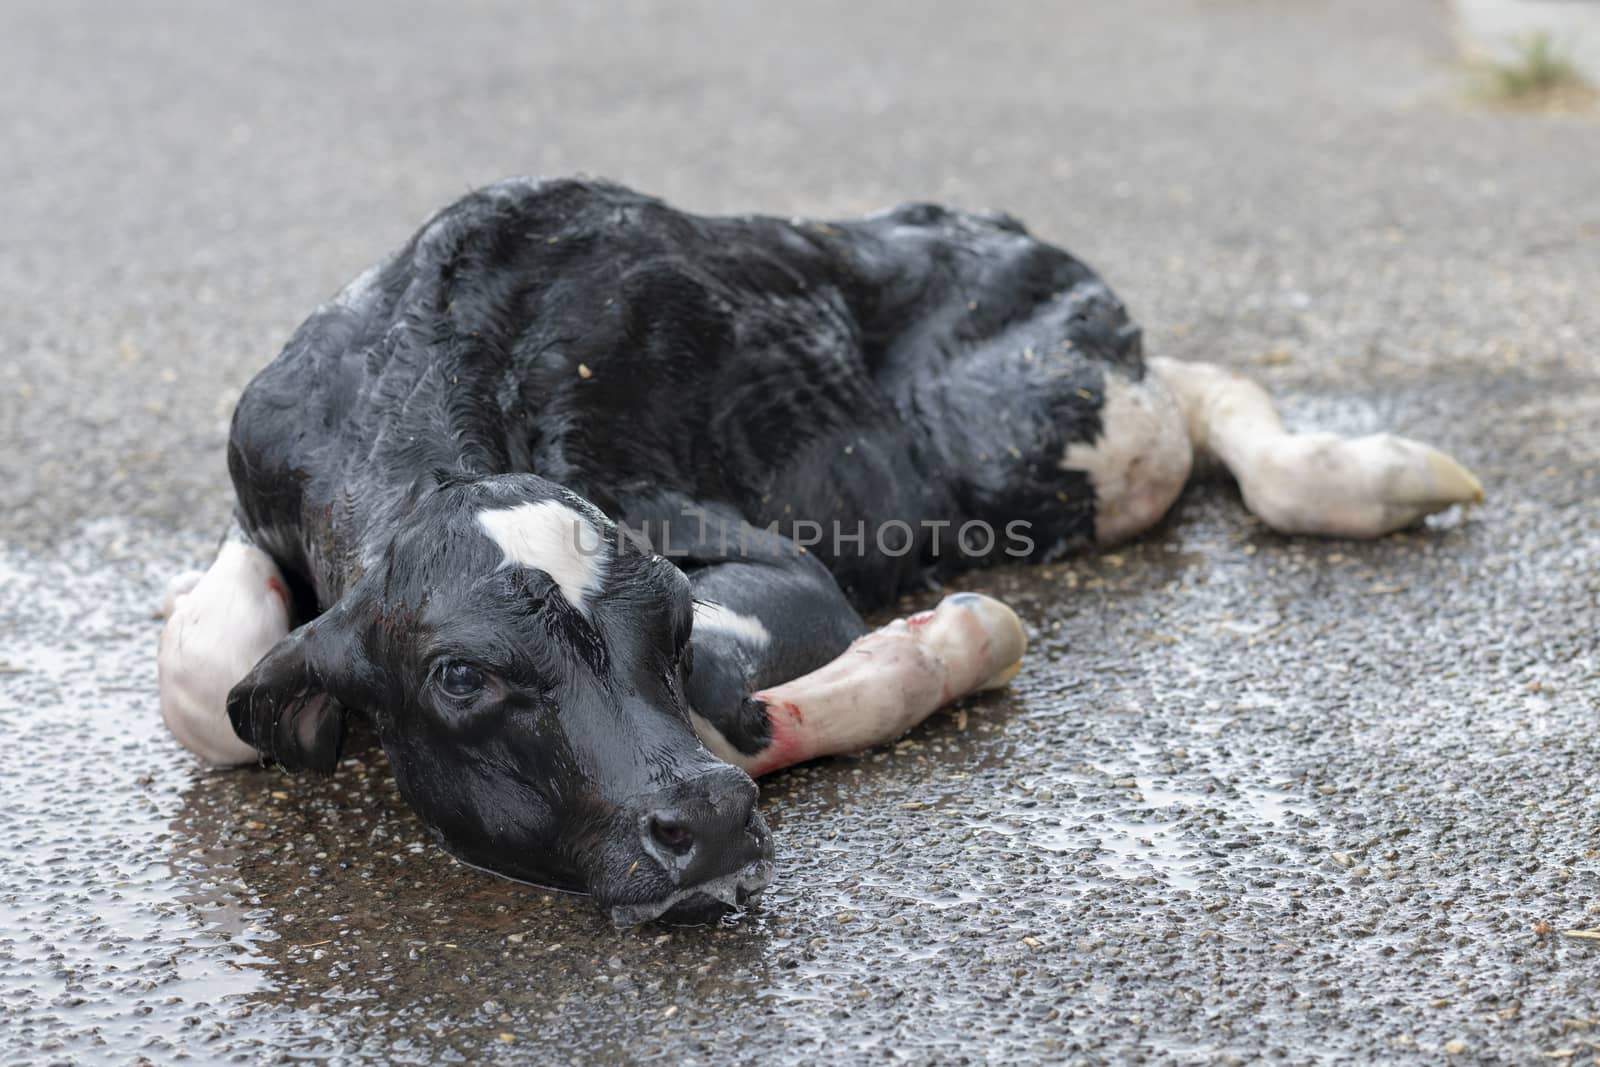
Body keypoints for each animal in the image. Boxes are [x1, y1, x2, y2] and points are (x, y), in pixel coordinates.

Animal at [156, 179, 1478, 921]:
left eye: (669, 619)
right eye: (461, 675)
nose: (705, 818)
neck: (407, 378)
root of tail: (988, 219)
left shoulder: (755, 555)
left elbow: (734, 685)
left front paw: (943, 641)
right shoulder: (256, 466)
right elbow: (204, 678)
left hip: (1044, 440)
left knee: (1186, 397)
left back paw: (1364, 474)